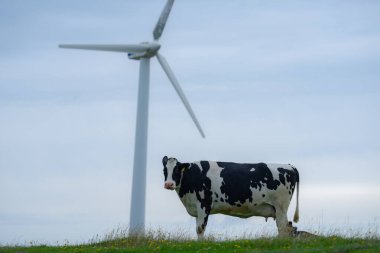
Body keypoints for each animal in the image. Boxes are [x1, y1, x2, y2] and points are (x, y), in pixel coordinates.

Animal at [163, 156, 300, 239]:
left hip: (281, 206)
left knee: (283, 227)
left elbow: (200, 229)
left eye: (176, 170)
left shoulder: (204, 204)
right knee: (288, 227)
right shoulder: (196, 207)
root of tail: (290, 166)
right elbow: (198, 228)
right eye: (165, 171)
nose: (168, 184)